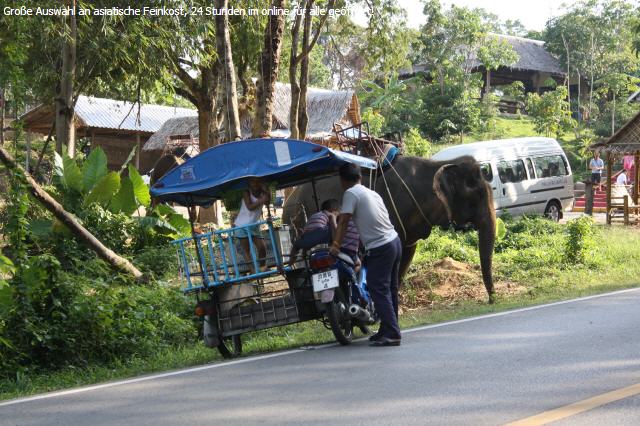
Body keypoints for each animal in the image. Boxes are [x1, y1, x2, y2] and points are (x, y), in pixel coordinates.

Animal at [282, 155, 498, 302]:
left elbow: (407, 254)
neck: (436, 165)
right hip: (297, 222)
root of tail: (287, 200)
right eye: (475, 200)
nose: (491, 300)